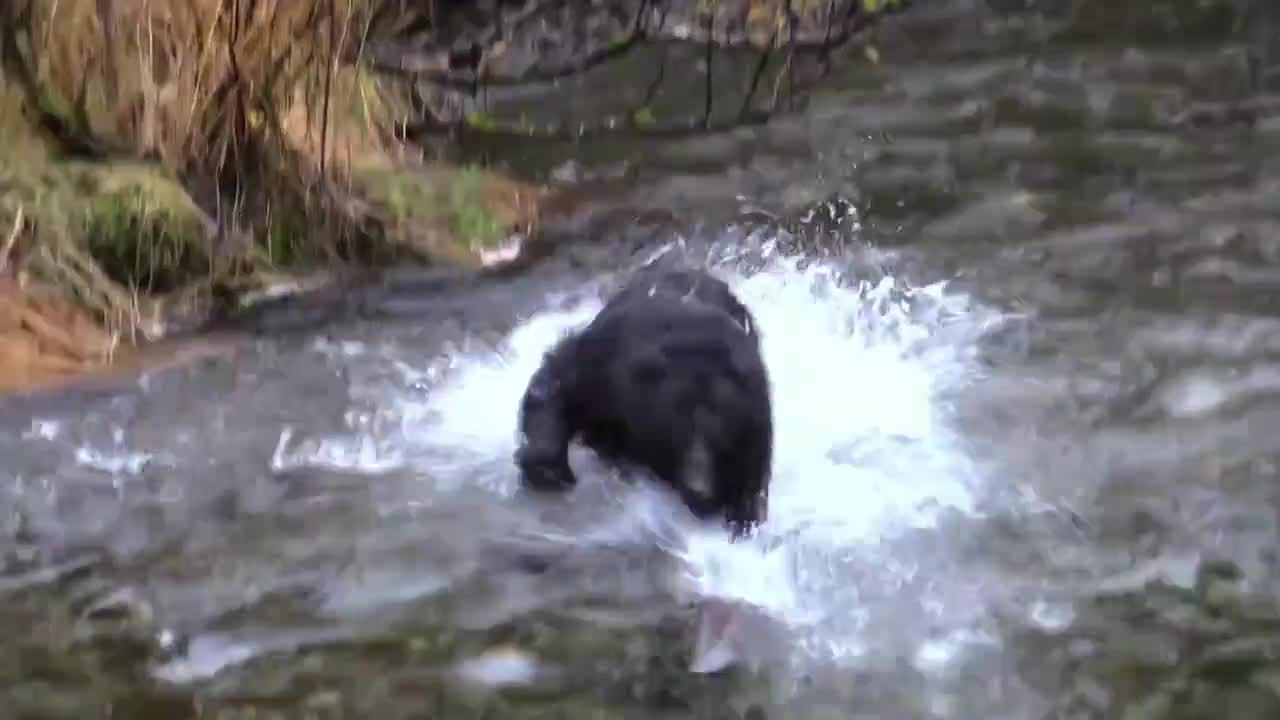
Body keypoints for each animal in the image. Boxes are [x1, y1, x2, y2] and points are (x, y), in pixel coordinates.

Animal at [509, 265, 768, 538]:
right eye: (678, 434)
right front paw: (548, 468)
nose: (700, 490)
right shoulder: (606, 360)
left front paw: (743, 512)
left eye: (723, 441)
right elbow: (557, 383)